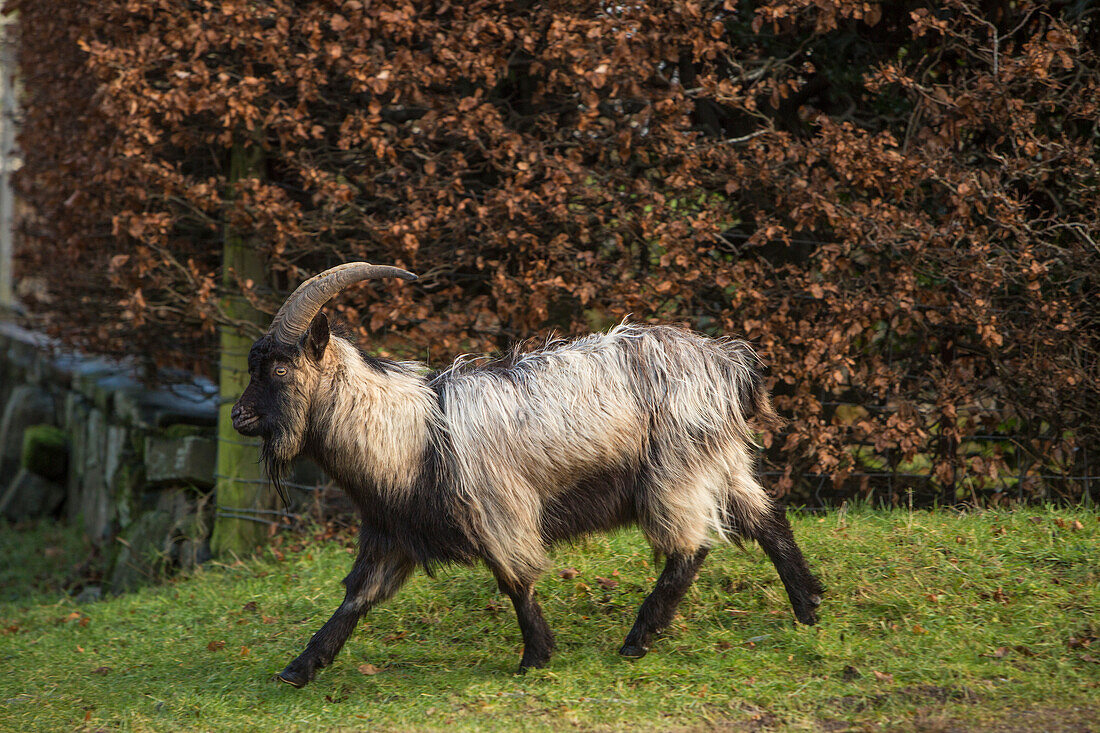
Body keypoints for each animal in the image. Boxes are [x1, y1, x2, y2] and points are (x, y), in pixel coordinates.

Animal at [232, 263, 822, 686]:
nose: (238, 416)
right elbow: (356, 597)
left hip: (674, 468)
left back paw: (638, 638)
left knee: (690, 546)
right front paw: (299, 668)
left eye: (279, 367)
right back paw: (809, 605)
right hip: (721, 460)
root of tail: (726, 364)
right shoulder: (393, 532)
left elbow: (515, 579)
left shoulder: (500, 511)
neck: (411, 434)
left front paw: (535, 657)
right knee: (765, 517)